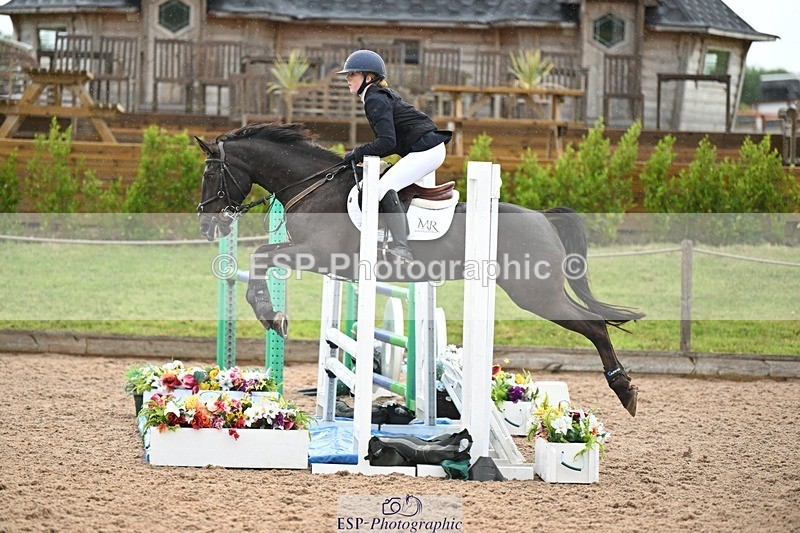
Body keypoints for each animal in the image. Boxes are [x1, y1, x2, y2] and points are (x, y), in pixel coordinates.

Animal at [195, 123, 644, 416]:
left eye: (210, 172)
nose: (206, 226)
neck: (313, 185)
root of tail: (543, 218)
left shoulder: (316, 254)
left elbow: (261, 258)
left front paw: (272, 316)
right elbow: (262, 258)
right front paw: (272, 315)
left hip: (536, 294)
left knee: (595, 325)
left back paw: (624, 389)